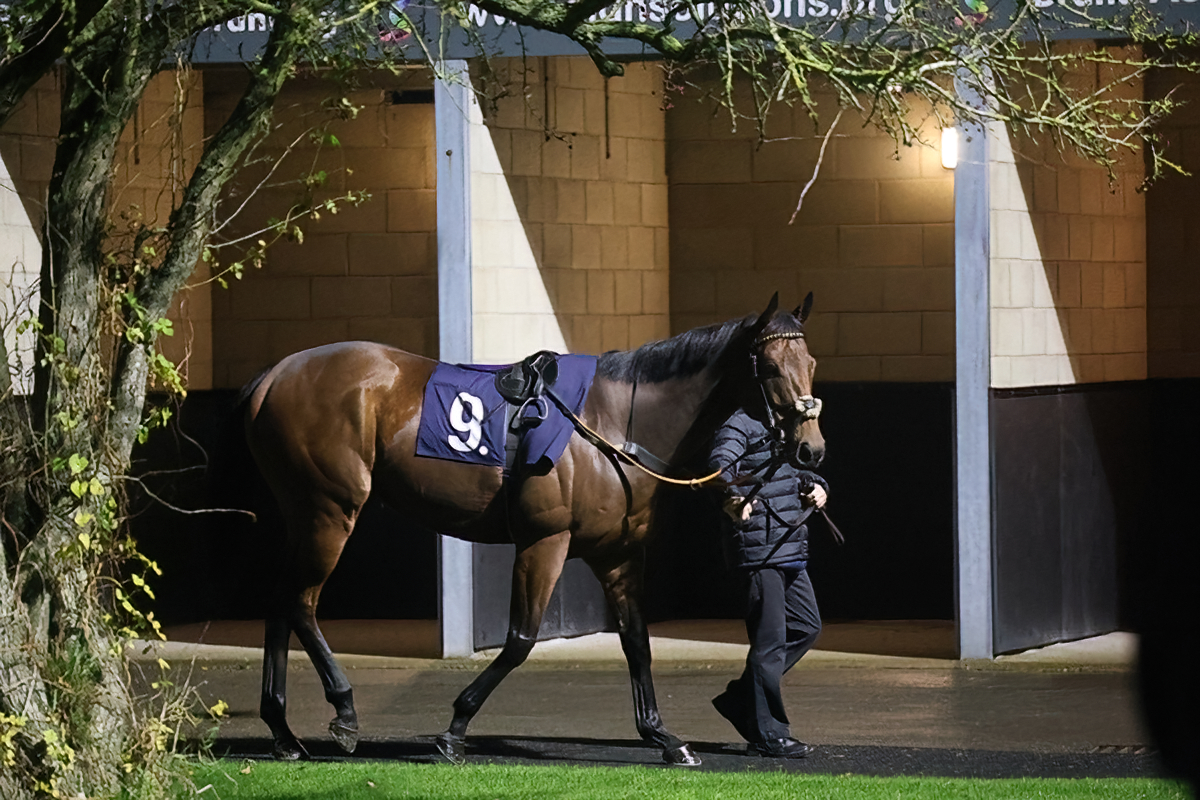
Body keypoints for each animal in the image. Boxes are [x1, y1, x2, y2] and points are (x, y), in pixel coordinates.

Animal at [239, 292, 825, 766]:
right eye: (771, 366)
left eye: (811, 361)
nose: (810, 449)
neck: (615, 423)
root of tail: (273, 376)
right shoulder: (545, 541)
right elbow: (521, 640)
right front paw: (454, 729)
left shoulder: (618, 554)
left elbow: (637, 642)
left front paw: (663, 737)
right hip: (331, 509)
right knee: (302, 602)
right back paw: (344, 711)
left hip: (303, 512)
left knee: (280, 600)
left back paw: (284, 733)